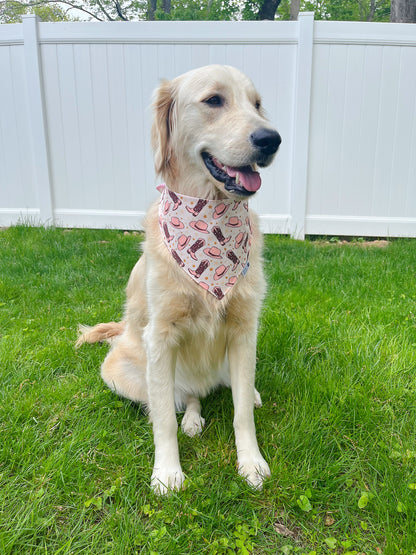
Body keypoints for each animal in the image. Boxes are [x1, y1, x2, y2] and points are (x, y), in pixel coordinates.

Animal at [76, 64, 282, 496]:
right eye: (214, 100)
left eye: (257, 104)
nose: (271, 139)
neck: (211, 214)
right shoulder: (161, 336)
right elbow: (163, 422)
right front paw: (167, 472)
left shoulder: (244, 329)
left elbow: (241, 413)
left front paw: (251, 463)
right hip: (123, 372)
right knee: (181, 400)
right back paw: (191, 418)